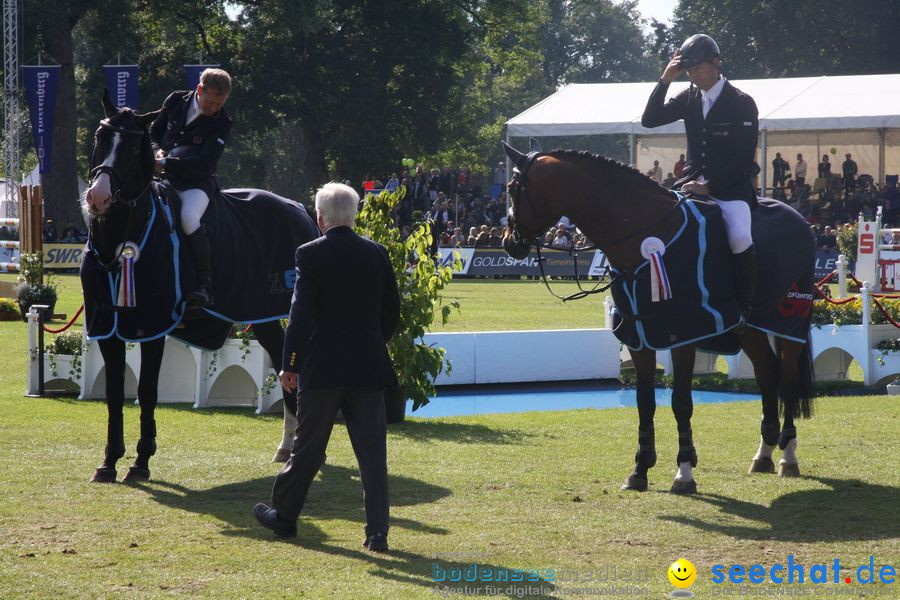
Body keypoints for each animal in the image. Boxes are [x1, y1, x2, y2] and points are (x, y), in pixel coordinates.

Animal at [81, 90, 320, 482]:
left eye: (131, 147)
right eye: (101, 137)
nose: (98, 198)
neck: (121, 239)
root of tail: (298, 207)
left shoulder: (152, 327)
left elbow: (147, 390)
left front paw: (141, 462)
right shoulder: (107, 326)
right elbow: (115, 393)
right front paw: (108, 461)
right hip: (263, 316)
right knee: (284, 365)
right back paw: (287, 448)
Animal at [502, 143, 820, 494]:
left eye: (512, 188)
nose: (508, 242)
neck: (646, 236)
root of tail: (799, 220)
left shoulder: (683, 335)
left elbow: (681, 402)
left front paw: (684, 472)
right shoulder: (639, 337)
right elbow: (645, 402)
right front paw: (640, 469)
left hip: (789, 323)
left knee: (787, 380)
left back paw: (787, 455)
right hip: (750, 330)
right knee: (767, 372)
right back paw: (763, 452)